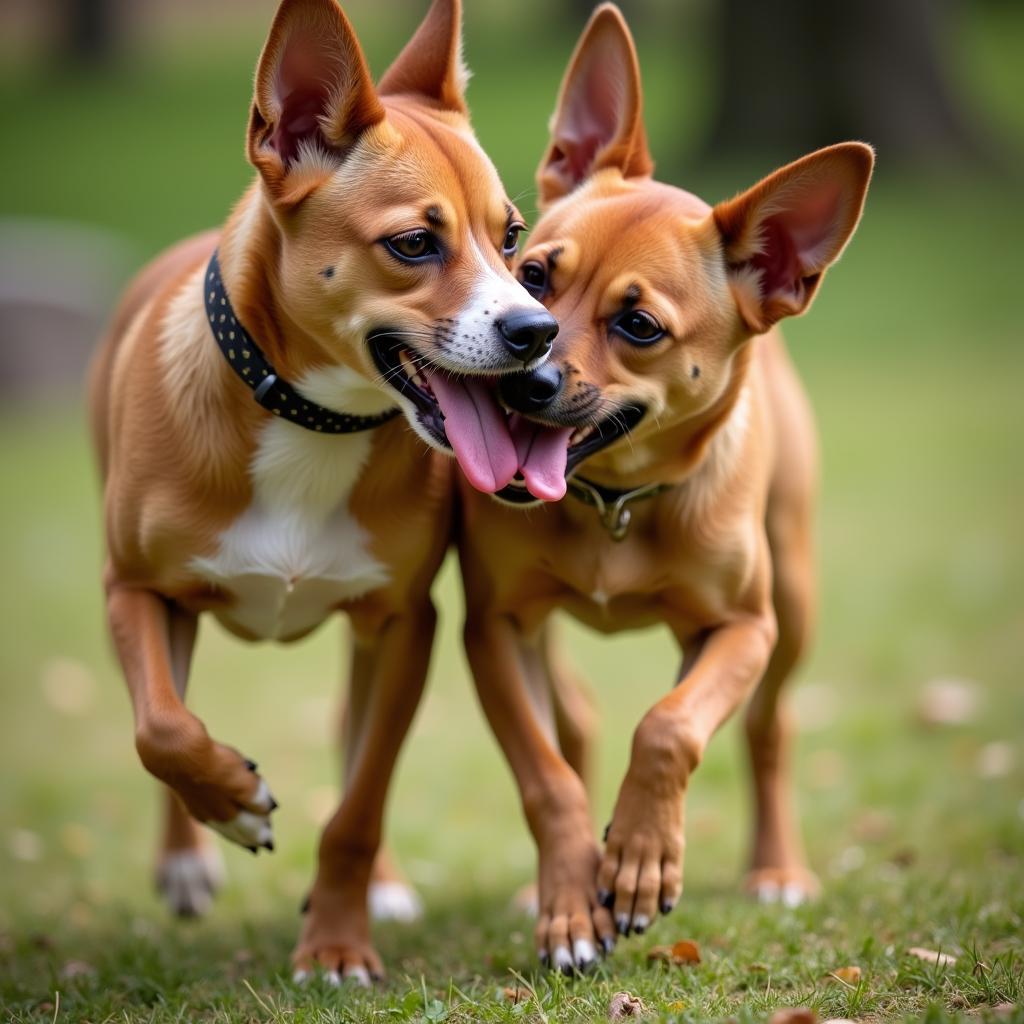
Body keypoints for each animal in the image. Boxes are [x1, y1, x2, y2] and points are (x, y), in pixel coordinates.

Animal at [89, 0, 557, 978]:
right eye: (414, 244)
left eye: (510, 238)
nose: (538, 332)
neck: (311, 422)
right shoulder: (135, 590)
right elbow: (162, 728)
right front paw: (228, 803)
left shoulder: (404, 623)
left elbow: (360, 798)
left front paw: (338, 940)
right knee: (169, 706)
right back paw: (186, 860)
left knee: (352, 740)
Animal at [450, 4, 872, 970]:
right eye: (534, 273)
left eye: (638, 325)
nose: (525, 372)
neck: (613, 505)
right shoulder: (494, 630)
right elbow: (547, 774)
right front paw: (573, 902)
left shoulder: (741, 629)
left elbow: (671, 725)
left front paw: (642, 857)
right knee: (574, 719)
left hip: (792, 605)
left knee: (768, 729)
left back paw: (775, 869)